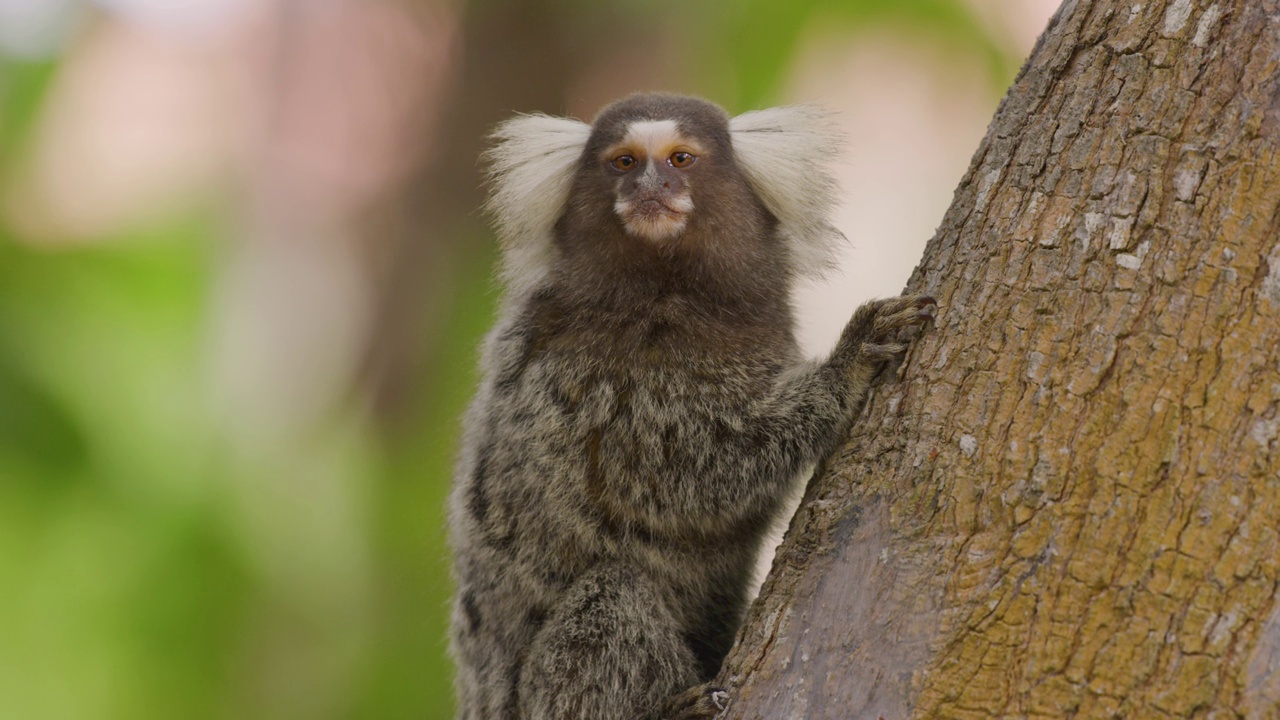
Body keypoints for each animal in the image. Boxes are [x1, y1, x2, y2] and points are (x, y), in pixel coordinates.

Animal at [445, 90, 936, 717]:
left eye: (680, 158)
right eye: (624, 162)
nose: (649, 187)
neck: (667, 297)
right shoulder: (584, 379)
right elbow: (691, 476)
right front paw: (844, 367)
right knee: (614, 596)